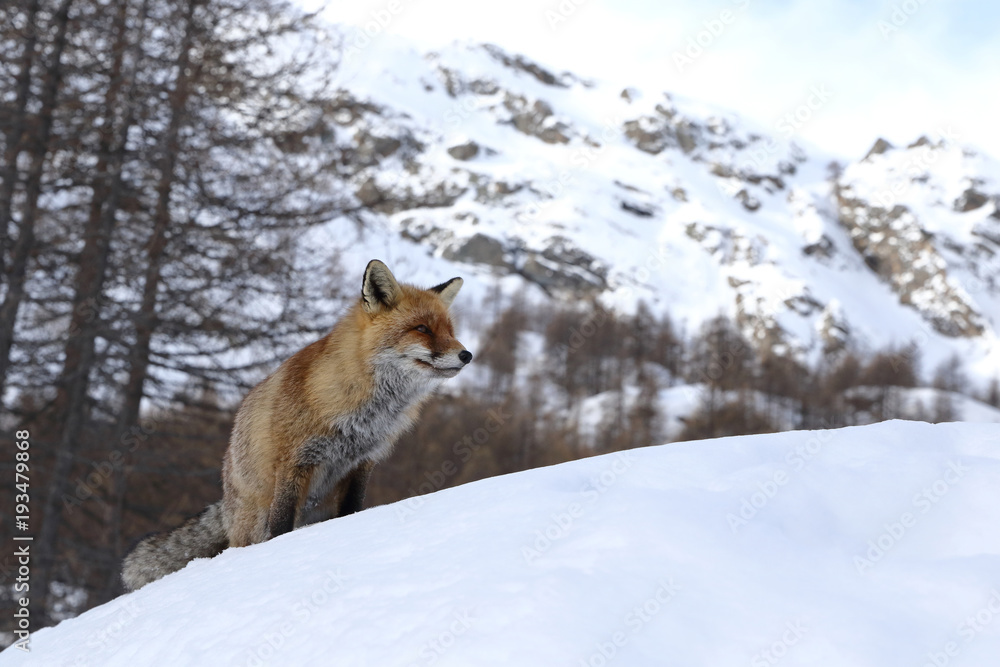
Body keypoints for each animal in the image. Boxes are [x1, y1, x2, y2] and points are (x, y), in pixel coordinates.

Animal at [121, 260, 472, 591]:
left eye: (450, 330)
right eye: (421, 328)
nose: (466, 355)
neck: (362, 411)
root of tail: (227, 496)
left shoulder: (363, 462)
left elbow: (352, 510)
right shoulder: (293, 462)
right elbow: (280, 528)